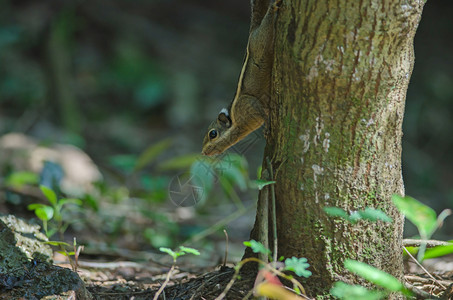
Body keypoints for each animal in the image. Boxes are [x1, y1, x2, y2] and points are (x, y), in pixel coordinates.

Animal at [200, 0, 278, 155]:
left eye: (213, 134)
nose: (203, 153)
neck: (237, 124)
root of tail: (252, 31)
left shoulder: (247, 104)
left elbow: (261, 111)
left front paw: (267, 126)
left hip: (262, 40)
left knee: (267, 26)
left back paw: (273, 8)